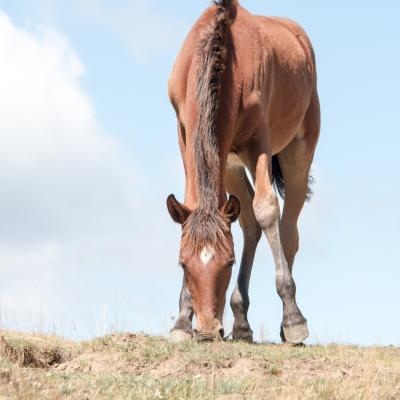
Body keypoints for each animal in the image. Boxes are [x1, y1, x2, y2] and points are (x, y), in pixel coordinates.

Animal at [167, 0, 320, 344]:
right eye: (182, 264)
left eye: (229, 262)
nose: (207, 331)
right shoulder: (185, 134)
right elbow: (195, 205)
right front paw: (181, 322)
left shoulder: (258, 141)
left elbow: (267, 209)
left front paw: (293, 319)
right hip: (230, 163)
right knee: (248, 221)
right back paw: (240, 322)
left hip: (298, 149)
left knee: (287, 227)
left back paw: (287, 322)